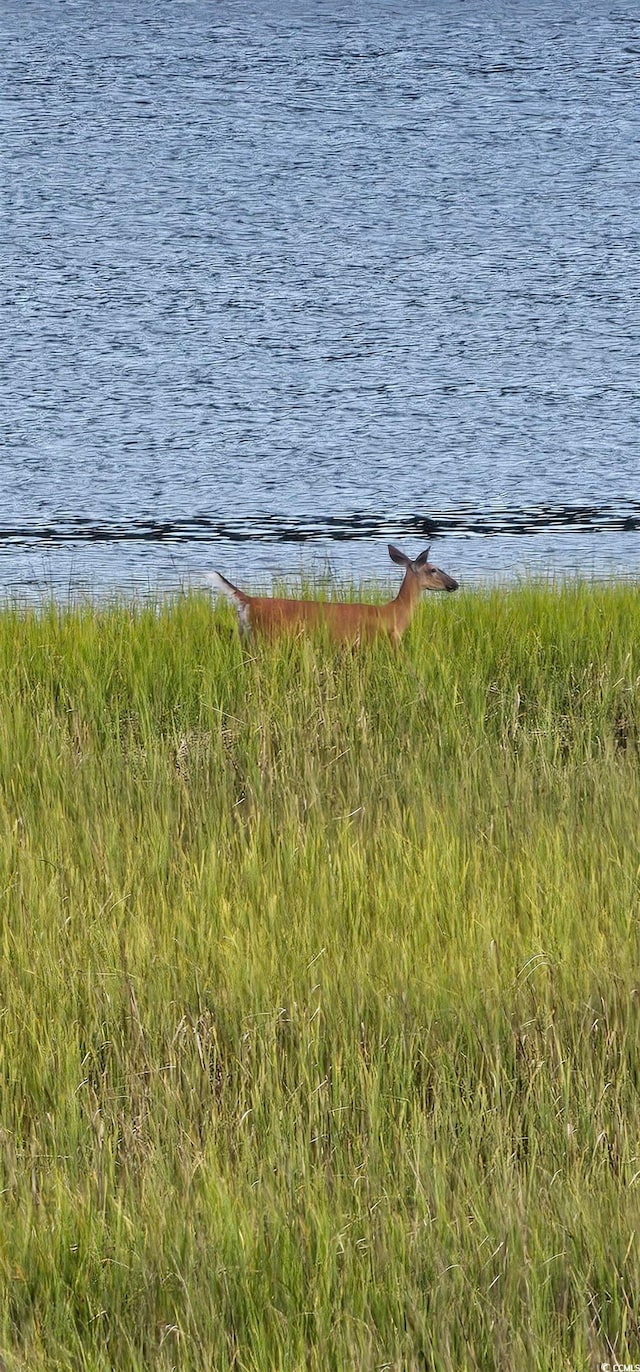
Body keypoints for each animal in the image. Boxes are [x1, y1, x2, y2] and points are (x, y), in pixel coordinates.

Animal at [207, 543, 458, 644]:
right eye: (433, 569)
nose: (454, 584)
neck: (393, 614)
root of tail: (248, 600)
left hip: (245, 636)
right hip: (267, 637)